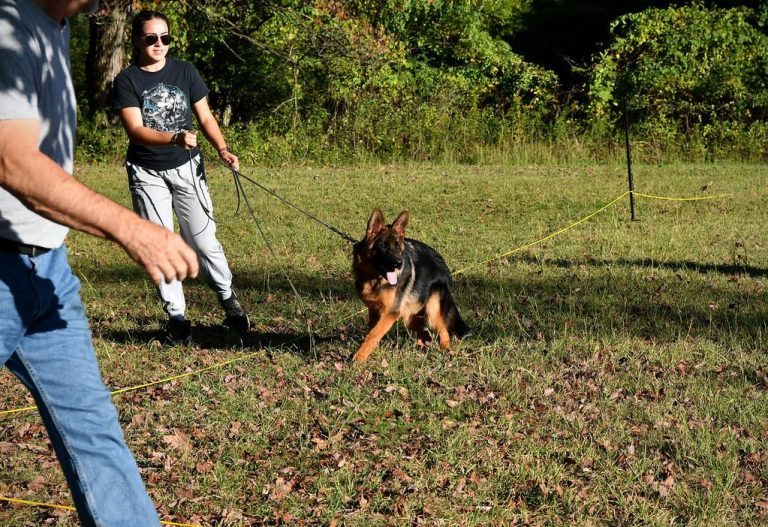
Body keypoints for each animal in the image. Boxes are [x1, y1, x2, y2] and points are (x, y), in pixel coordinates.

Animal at [352, 207, 472, 364]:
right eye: (382, 246)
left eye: (397, 247)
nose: (399, 263)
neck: (375, 279)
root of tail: (444, 264)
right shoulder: (374, 310)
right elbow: (372, 332)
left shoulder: (390, 313)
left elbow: (373, 335)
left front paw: (358, 359)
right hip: (410, 316)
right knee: (425, 335)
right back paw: (422, 350)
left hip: (431, 312)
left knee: (443, 332)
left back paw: (445, 351)